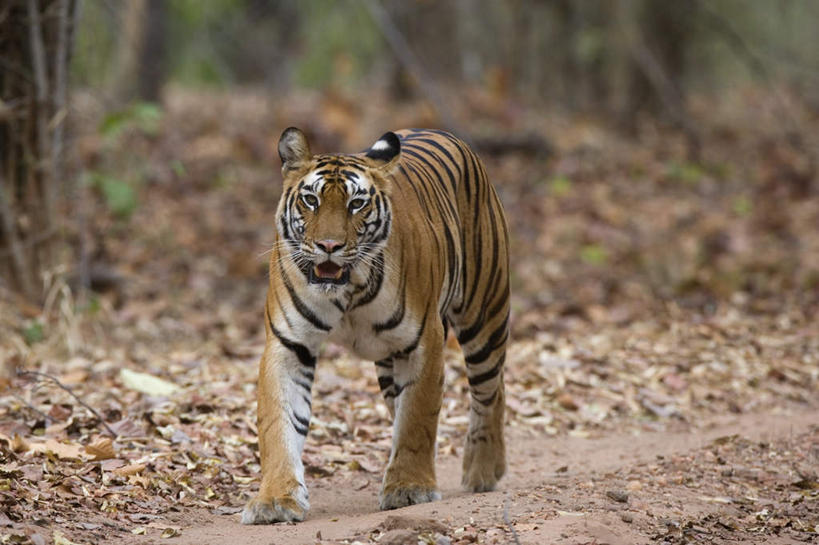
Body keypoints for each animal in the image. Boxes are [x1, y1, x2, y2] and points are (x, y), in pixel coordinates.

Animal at [240, 126, 510, 524]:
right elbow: (279, 424)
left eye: (356, 204)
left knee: (491, 390)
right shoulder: (289, 345)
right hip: (388, 362)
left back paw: (484, 470)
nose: (329, 245)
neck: (346, 291)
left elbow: (417, 418)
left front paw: (409, 488)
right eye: (310, 200)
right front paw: (275, 500)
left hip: (484, 314)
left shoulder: (424, 342)